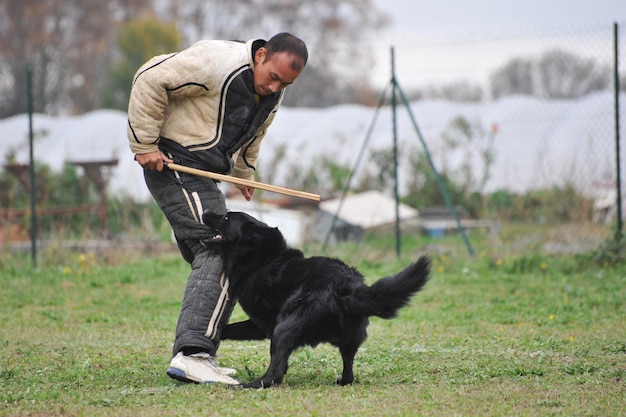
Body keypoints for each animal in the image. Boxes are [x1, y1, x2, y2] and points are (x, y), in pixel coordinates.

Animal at [202, 210, 432, 388]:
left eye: (226, 217)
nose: (205, 212)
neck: (260, 259)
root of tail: (345, 286)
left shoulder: (263, 324)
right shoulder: (261, 326)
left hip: (285, 327)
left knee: (273, 376)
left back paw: (248, 385)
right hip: (349, 339)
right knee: (349, 372)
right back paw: (342, 381)